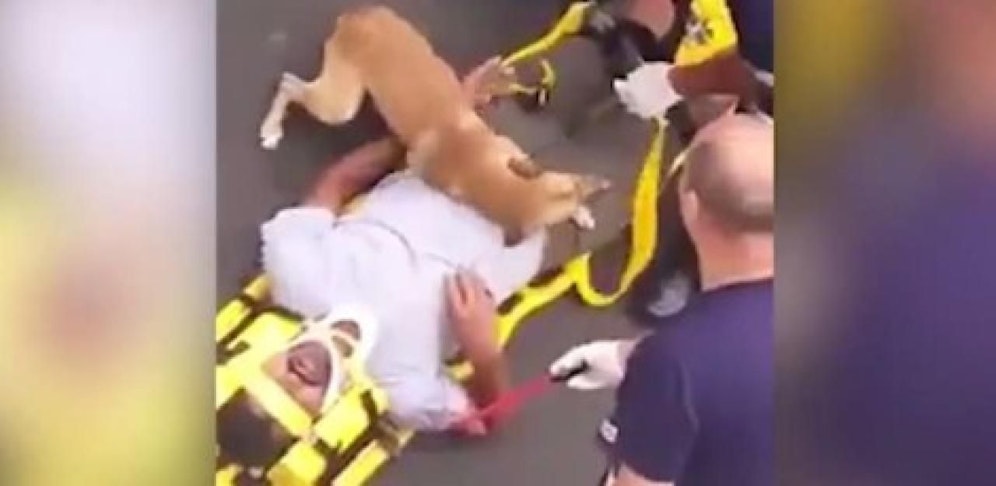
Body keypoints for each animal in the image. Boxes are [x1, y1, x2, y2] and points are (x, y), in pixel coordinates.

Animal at [258, 6, 610, 244]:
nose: (594, 188)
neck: (478, 166)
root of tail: (358, 15)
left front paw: (582, 211)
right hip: (339, 106)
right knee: (289, 84)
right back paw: (271, 129)